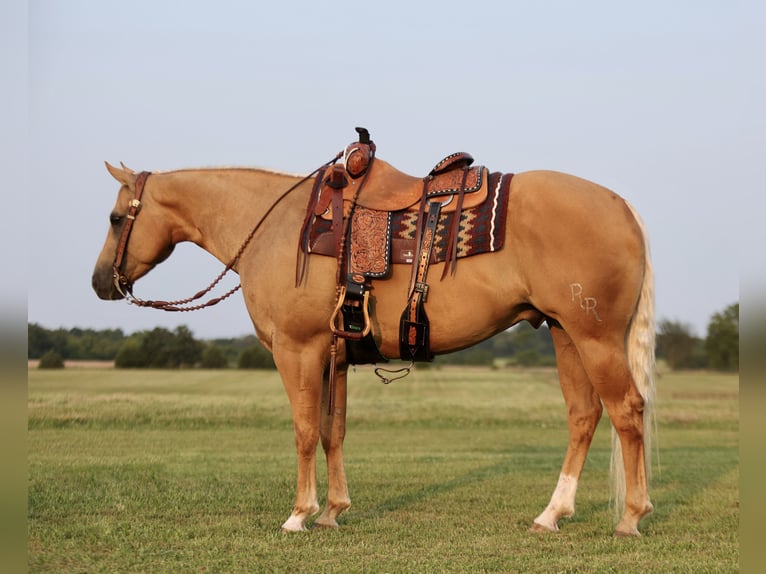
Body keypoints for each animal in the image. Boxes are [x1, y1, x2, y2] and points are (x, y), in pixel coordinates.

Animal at [90, 142, 656, 536]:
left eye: (117, 218)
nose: (99, 283)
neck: (277, 228)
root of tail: (621, 205)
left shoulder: (298, 350)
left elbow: (303, 430)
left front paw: (299, 515)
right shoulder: (333, 356)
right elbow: (332, 431)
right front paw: (333, 512)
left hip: (595, 337)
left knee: (627, 411)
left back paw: (631, 516)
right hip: (565, 334)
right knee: (584, 416)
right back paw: (551, 514)